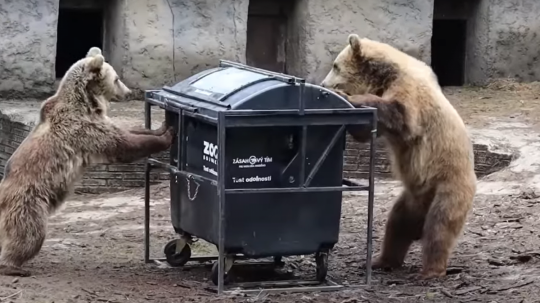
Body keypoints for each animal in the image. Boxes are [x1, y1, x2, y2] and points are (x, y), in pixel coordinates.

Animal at [0, 47, 174, 278]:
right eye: (116, 78)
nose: (128, 92)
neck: (88, 103)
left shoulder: (97, 122)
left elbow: (128, 132)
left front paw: (158, 127)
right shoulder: (82, 129)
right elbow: (123, 145)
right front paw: (168, 134)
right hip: (29, 203)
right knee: (29, 234)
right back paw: (13, 267)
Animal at [320, 33, 476, 280]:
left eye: (335, 65)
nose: (324, 84)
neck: (386, 75)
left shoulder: (410, 94)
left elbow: (398, 112)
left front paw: (348, 98)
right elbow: (368, 130)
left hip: (449, 186)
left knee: (439, 228)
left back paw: (431, 270)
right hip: (412, 199)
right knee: (396, 225)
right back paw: (382, 260)